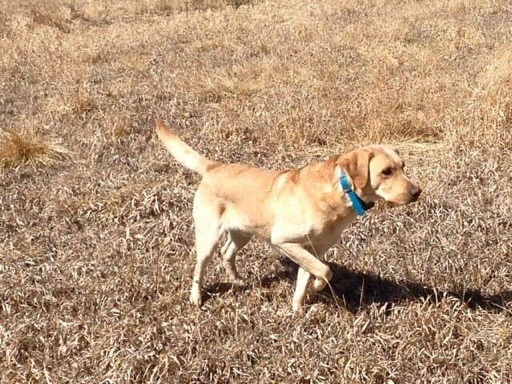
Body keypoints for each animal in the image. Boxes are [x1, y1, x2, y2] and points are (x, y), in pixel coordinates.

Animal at [156, 121, 420, 312]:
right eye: (386, 172)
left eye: (403, 166)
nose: (417, 192)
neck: (339, 192)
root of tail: (215, 167)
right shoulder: (285, 241)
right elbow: (324, 271)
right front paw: (317, 287)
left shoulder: (314, 249)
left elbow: (307, 277)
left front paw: (298, 309)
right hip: (208, 236)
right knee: (200, 267)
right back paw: (196, 297)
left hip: (243, 231)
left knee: (227, 252)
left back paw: (238, 281)